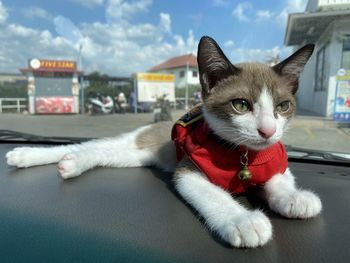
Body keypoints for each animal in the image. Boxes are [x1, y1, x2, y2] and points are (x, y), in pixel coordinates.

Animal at [6, 35, 322, 250]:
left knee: (101, 151)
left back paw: (71, 164)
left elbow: (279, 179)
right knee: (85, 145)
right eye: (241, 105)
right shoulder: (189, 168)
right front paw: (242, 220)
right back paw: (27, 154)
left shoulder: (272, 159)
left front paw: (294, 198)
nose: (268, 131)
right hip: (140, 141)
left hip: (135, 156)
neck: (241, 155)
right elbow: (211, 193)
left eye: (283, 106)